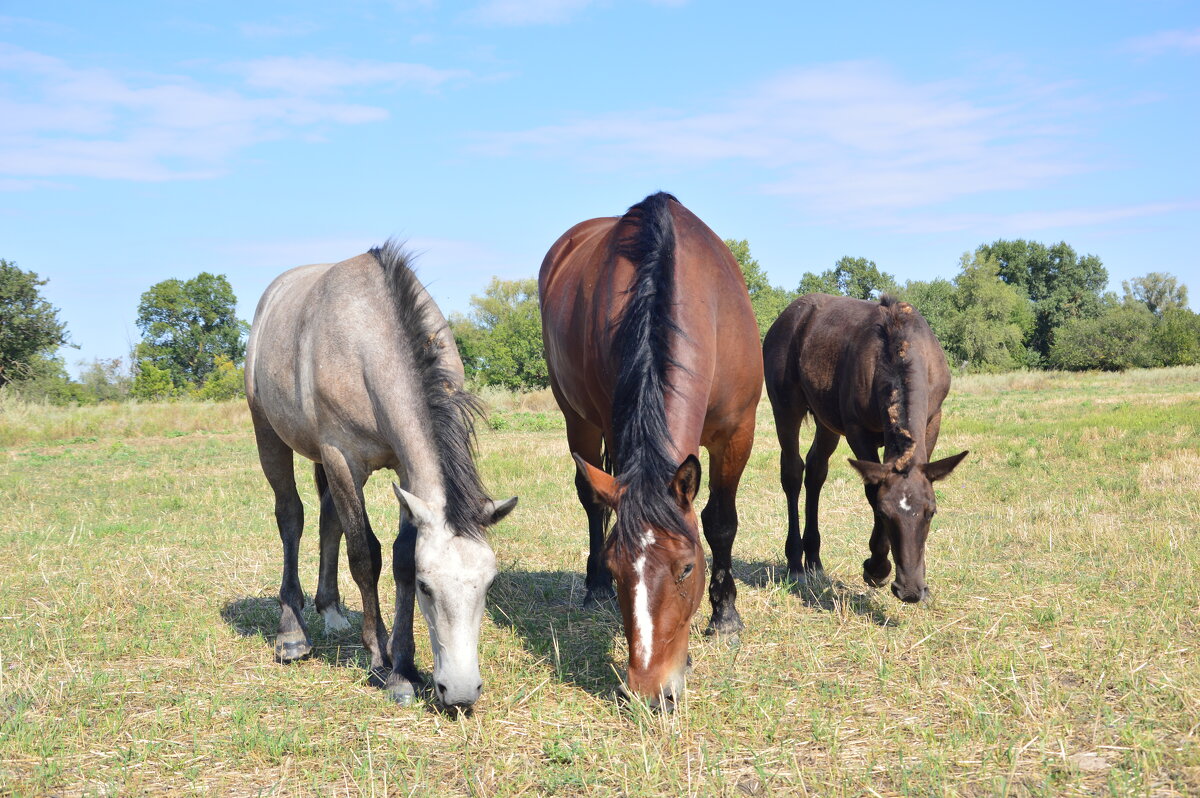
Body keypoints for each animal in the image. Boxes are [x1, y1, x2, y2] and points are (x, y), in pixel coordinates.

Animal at [246, 242, 518, 710]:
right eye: (428, 588)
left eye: (488, 585)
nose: (461, 692)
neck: (368, 342)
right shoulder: (342, 458)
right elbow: (365, 555)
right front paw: (380, 660)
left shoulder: (406, 473)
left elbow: (399, 555)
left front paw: (404, 667)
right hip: (269, 433)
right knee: (291, 517)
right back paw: (292, 632)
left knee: (328, 520)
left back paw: (331, 610)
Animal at [542, 193, 763, 705]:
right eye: (618, 567)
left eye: (686, 569)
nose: (650, 690)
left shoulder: (737, 432)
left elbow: (721, 523)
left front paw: (726, 618)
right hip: (579, 421)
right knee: (592, 503)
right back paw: (593, 589)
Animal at [763, 295, 969, 600]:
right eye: (884, 513)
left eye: (931, 512)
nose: (910, 591)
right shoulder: (858, 431)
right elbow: (872, 491)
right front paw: (877, 568)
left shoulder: (933, 420)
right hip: (786, 408)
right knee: (792, 472)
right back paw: (796, 565)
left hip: (826, 422)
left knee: (815, 471)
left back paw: (814, 560)